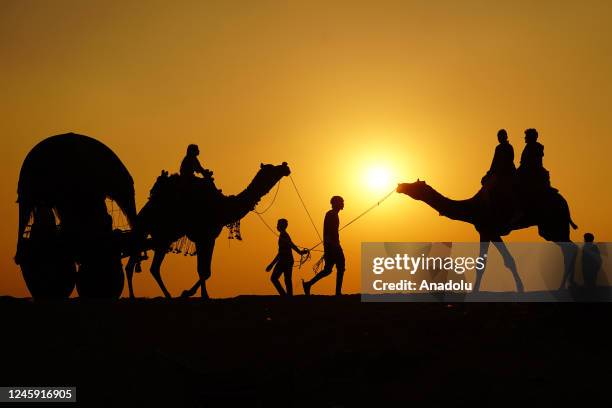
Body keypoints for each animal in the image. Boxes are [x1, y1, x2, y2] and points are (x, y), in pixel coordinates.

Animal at [125, 163, 290, 300]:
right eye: (271, 168)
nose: (285, 166)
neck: (223, 207)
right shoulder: (204, 237)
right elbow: (203, 270)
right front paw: (197, 294)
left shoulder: (209, 238)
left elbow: (206, 271)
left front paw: (190, 293)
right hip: (156, 233)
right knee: (145, 263)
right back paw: (151, 295)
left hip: (161, 236)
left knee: (146, 264)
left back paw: (155, 295)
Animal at [396, 180, 580, 292]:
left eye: (415, 185)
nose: (400, 186)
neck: (472, 208)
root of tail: (564, 203)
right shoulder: (485, 231)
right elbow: (486, 263)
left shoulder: (490, 230)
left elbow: (503, 261)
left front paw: (519, 288)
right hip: (550, 228)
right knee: (569, 248)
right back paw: (566, 286)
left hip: (553, 224)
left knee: (570, 248)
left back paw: (564, 286)